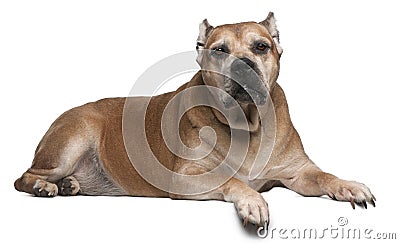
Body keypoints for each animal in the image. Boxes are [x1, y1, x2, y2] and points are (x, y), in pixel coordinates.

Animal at [14, 12, 376, 234]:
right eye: (219, 50)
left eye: (261, 46)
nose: (243, 64)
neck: (247, 125)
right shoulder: (187, 177)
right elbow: (232, 180)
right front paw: (253, 202)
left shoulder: (297, 172)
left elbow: (324, 176)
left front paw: (350, 186)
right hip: (75, 136)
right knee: (24, 178)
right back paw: (46, 186)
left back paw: (69, 186)